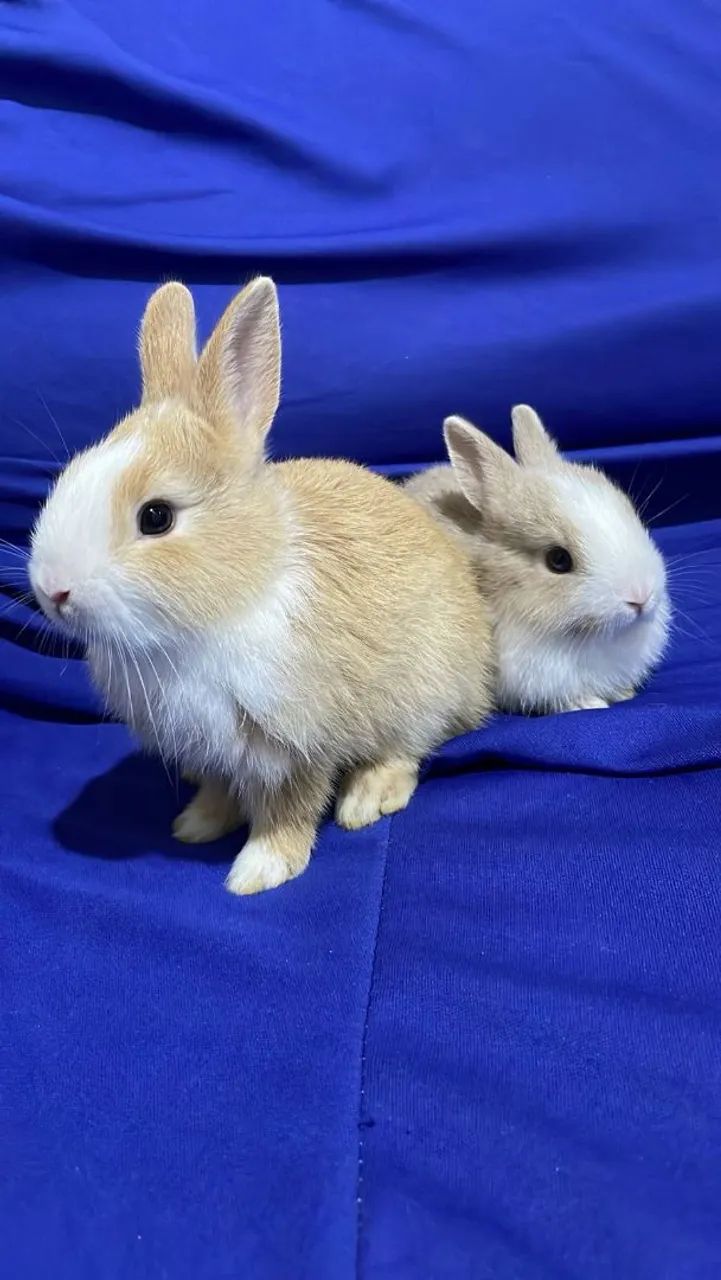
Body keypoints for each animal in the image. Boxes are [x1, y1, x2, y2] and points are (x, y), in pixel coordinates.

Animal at [29, 278, 494, 894]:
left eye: (156, 517)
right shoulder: (216, 751)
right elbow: (220, 788)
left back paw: (366, 800)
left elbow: (289, 809)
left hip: (422, 693)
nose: (52, 591)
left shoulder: (294, 742)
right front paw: (196, 826)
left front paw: (258, 871)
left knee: (409, 749)